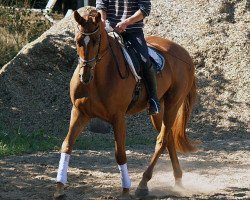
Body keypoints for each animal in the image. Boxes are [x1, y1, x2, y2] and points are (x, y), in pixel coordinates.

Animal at [54, 7, 197, 198]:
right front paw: (59, 188)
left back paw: (143, 184)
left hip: (173, 103)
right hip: (158, 110)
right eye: (78, 40)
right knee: (168, 138)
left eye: (96, 40)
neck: (97, 79)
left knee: (161, 140)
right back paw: (178, 179)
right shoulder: (80, 113)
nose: (85, 76)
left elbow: (120, 154)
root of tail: (184, 54)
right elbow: (67, 145)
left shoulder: (118, 117)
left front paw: (125, 190)